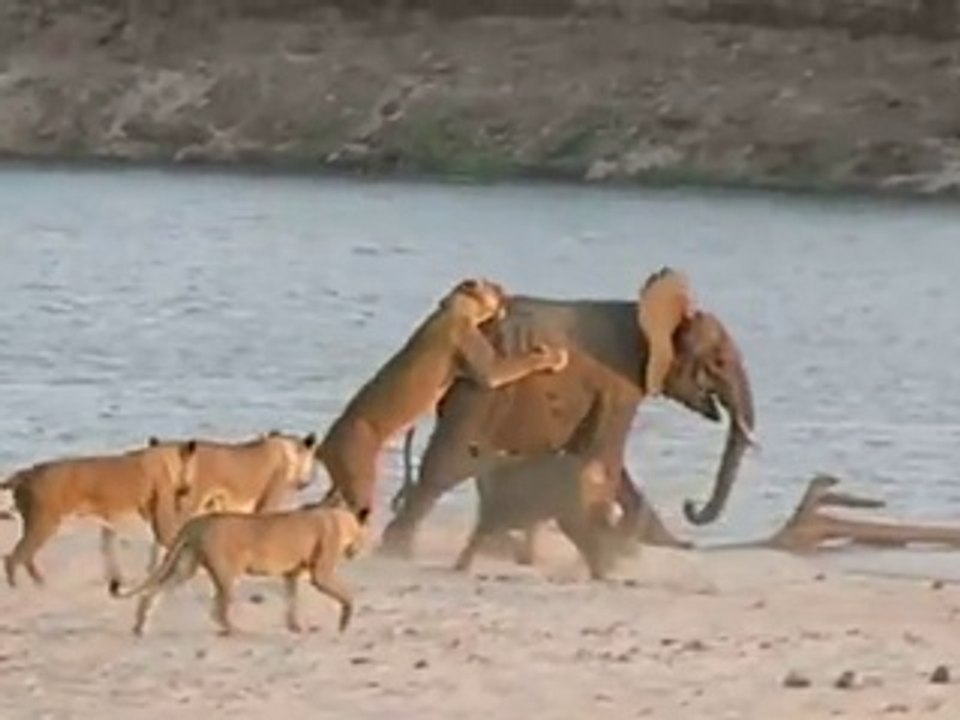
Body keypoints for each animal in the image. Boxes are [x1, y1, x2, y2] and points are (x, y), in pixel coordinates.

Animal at [1, 439, 199, 589]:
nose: (188, 489)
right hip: (43, 526)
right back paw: (18, 587)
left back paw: (40, 583)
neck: (165, 458)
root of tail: (26, 474)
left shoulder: (112, 523)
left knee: (25, 558)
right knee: (13, 559)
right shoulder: (162, 523)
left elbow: (110, 552)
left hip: (39, 528)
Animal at [115, 499, 365, 637]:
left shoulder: (291, 575)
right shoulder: (320, 575)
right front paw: (345, 622)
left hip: (185, 568)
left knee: (150, 593)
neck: (340, 519)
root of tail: (197, 521)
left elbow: (292, 601)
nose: (357, 550)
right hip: (226, 573)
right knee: (217, 610)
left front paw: (295, 627)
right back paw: (237, 632)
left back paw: (139, 627)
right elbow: (347, 595)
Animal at [315, 278, 568, 521]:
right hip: (359, 475)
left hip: (342, 484)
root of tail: (325, 445)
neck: (454, 307)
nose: (504, 290)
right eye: (493, 285)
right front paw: (554, 356)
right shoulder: (488, 367)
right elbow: (520, 363)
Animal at [453, 451, 623, 580]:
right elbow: (507, 537)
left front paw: (459, 566)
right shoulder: (502, 517)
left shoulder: (493, 515)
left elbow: (476, 540)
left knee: (591, 541)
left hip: (568, 514)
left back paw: (597, 573)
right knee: (593, 538)